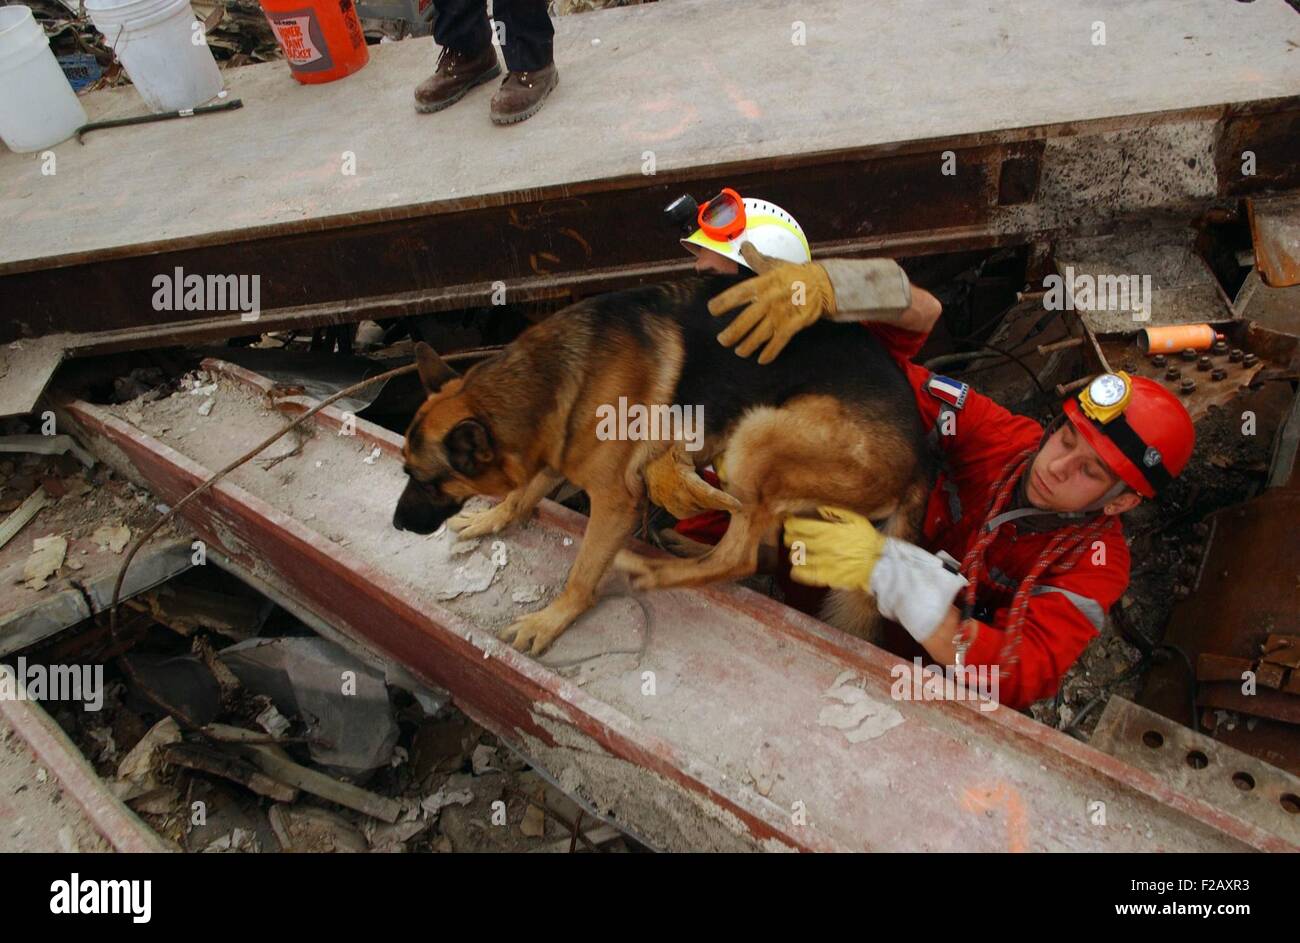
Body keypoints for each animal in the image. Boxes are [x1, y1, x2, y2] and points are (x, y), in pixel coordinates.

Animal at [390, 271, 930, 655]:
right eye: (407, 474)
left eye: (427, 481)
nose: (396, 525)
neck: (542, 381)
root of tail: (924, 461)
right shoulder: (555, 450)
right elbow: (523, 494)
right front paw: (490, 518)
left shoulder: (614, 501)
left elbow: (581, 573)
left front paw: (550, 620)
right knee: (764, 551)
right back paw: (684, 546)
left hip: (756, 434)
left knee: (741, 555)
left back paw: (651, 568)